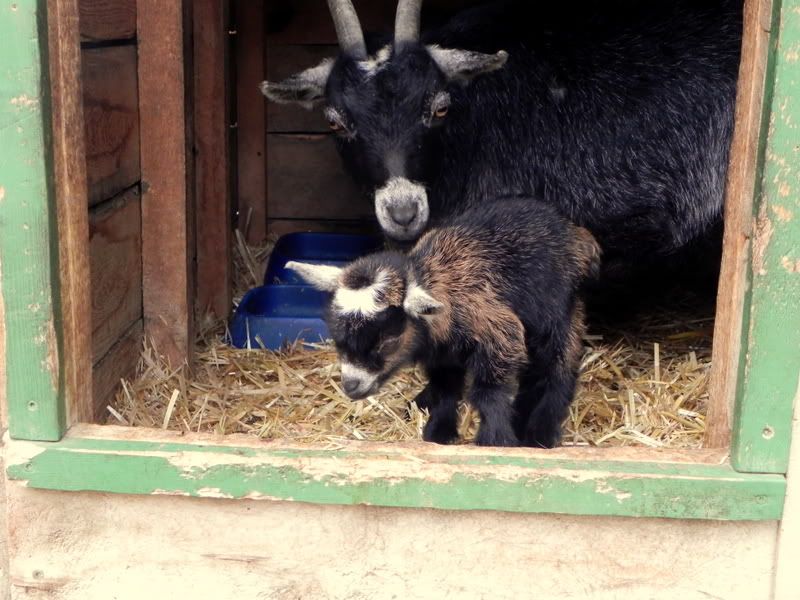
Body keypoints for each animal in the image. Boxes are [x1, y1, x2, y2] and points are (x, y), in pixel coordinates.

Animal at [287, 199, 601, 447]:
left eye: (388, 340)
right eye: (337, 338)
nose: (352, 386)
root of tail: (579, 236)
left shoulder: (498, 333)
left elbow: (488, 392)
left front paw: (495, 439)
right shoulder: (442, 355)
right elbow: (445, 390)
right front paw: (439, 433)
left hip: (561, 311)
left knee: (560, 365)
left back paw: (542, 432)